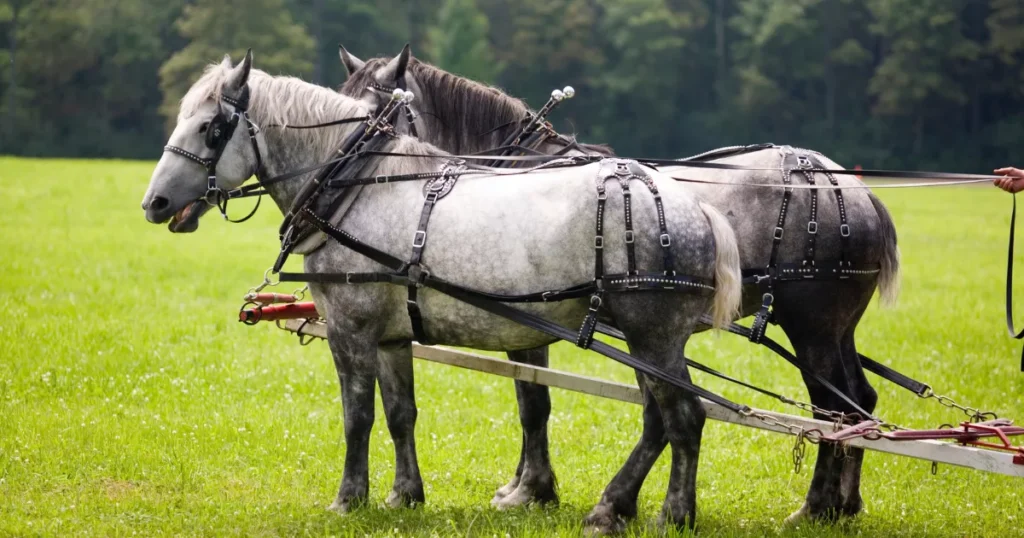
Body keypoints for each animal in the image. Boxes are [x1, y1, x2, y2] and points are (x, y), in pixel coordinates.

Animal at [138, 52, 745, 528]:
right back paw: (619, 506)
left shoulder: (350, 329)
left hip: (653, 337)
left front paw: (348, 499)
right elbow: (400, 412)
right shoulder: (391, 336)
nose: (154, 203)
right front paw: (404, 495)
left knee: (684, 418)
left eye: (211, 127)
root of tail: (696, 207)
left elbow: (357, 415)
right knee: (663, 417)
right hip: (649, 341)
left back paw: (670, 513)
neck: (358, 186)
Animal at [339, 45, 901, 528]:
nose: (342, 170)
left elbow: (534, 402)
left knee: (830, 407)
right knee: (860, 399)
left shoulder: (524, 323)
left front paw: (531, 489)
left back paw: (815, 506)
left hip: (808, 328)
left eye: (378, 112)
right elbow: (534, 400)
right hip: (836, 330)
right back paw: (846, 502)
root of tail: (851, 187)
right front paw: (529, 487)